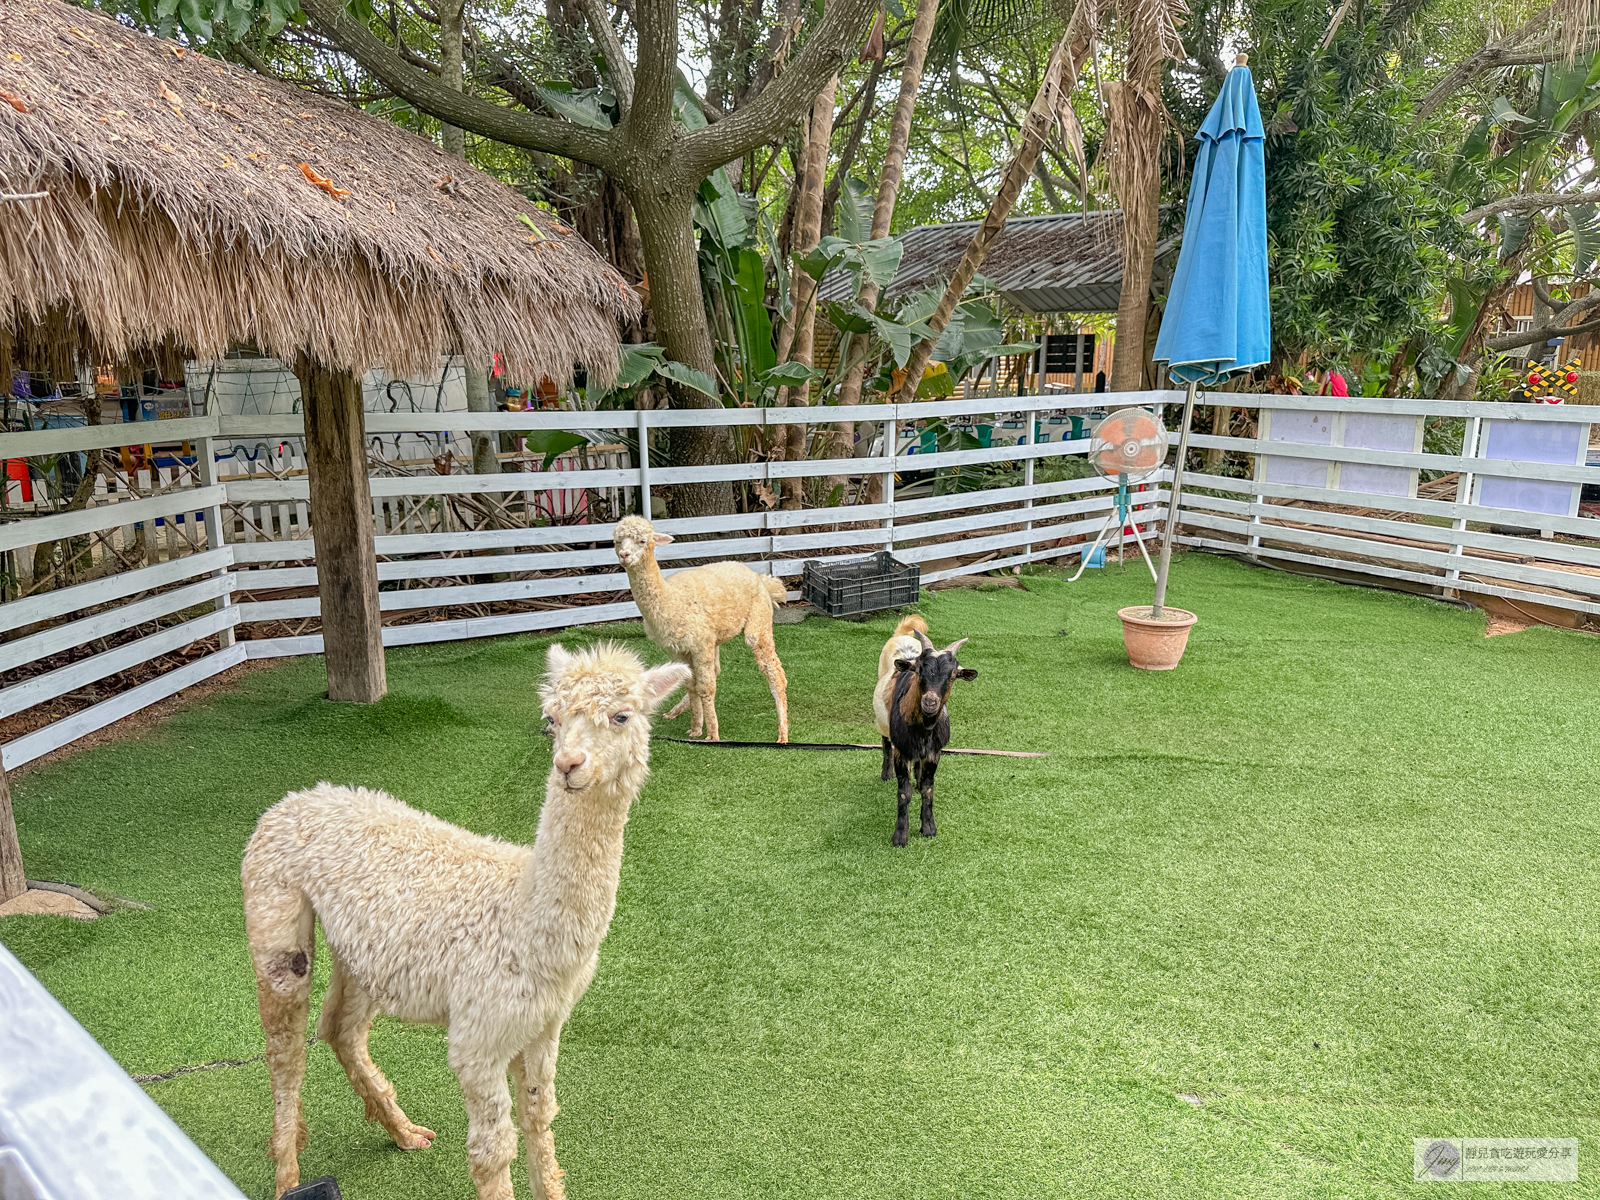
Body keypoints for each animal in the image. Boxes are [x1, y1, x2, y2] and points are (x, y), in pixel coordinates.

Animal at [876, 624, 972, 851]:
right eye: (919, 670)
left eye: (953, 675)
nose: (930, 702)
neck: (924, 729)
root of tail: (902, 634)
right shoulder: (901, 751)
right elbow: (904, 792)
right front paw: (900, 836)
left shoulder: (934, 752)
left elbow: (928, 789)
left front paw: (928, 828)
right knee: (885, 742)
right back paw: (886, 773)